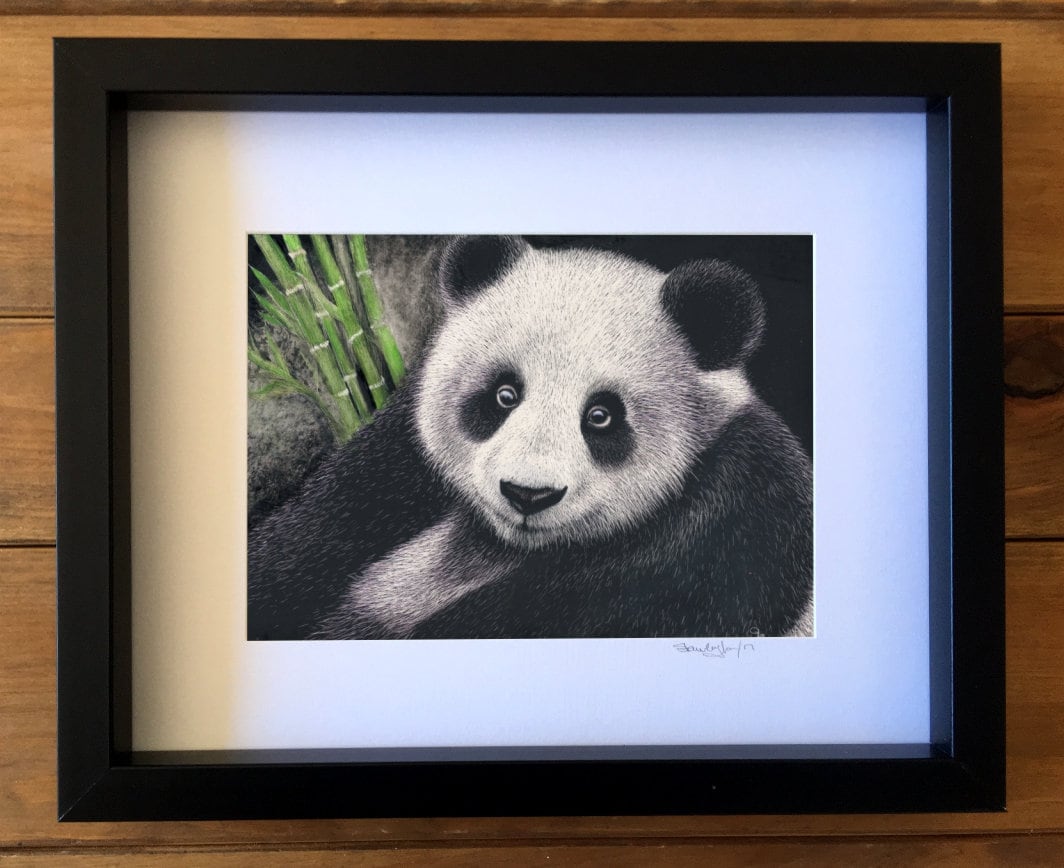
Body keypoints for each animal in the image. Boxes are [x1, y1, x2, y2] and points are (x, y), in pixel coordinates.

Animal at [247, 236, 813, 641]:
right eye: (504, 394)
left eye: (601, 416)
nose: (527, 494)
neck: (501, 546)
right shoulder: (388, 469)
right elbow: (295, 553)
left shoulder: (726, 528)